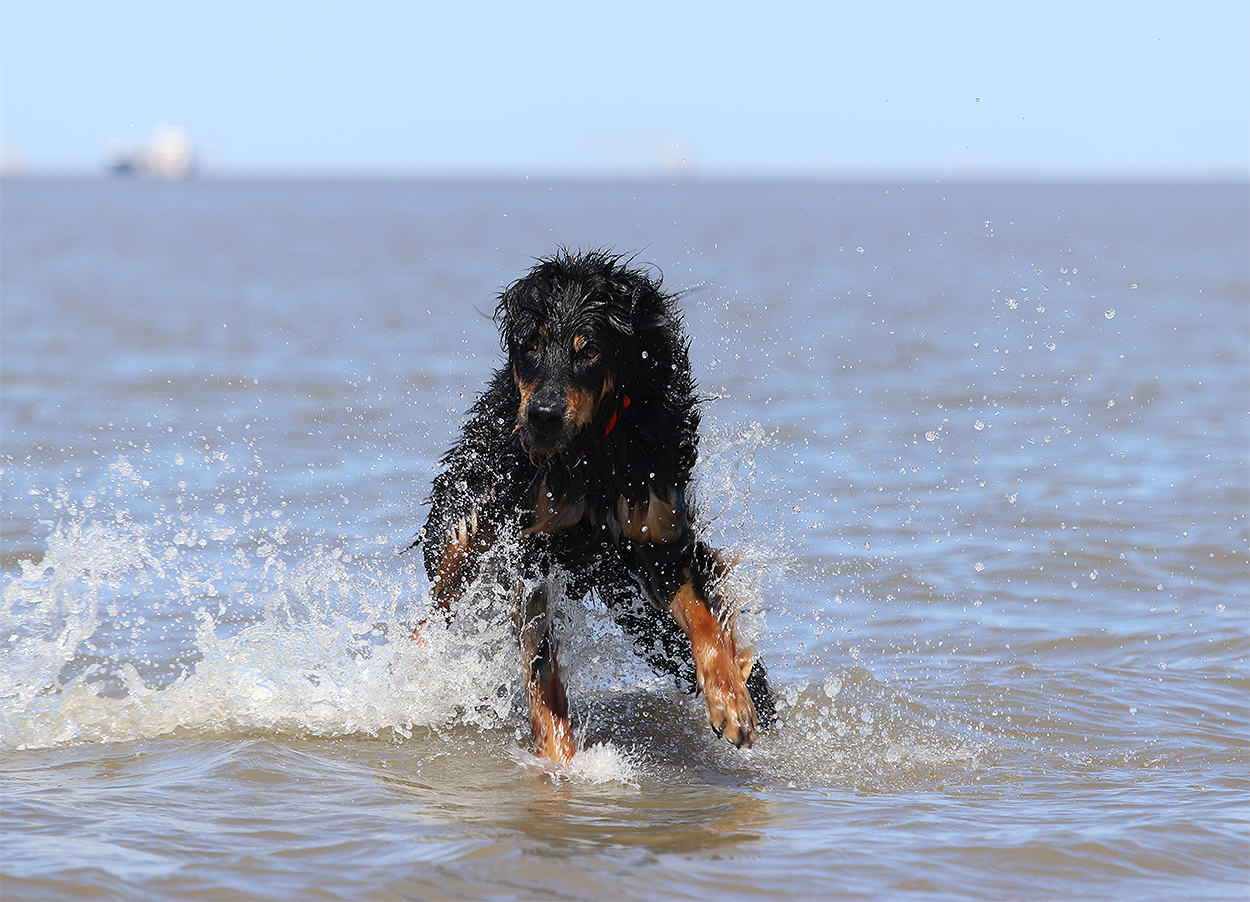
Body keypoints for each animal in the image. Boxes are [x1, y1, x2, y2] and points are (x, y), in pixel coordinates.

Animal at [416, 249, 775, 764]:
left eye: (589, 353)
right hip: (463, 525)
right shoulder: (525, 551)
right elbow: (541, 665)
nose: (542, 416)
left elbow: (704, 618)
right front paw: (560, 754)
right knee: (436, 609)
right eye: (531, 344)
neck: (591, 451)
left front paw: (730, 700)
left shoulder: (657, 535)